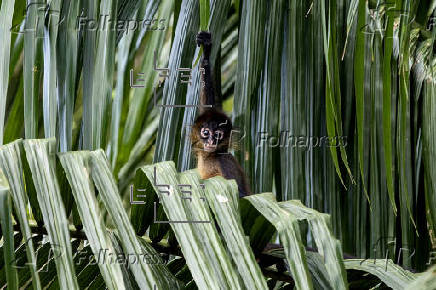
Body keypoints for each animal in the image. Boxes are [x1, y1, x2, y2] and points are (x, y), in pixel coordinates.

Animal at [192, 32, 250, 199]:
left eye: (218, 135)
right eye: (206, 132)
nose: (211, 141)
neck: (211, 156)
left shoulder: (224, 162)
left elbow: (241, 196)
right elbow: (208, 104)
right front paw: (206, 52)